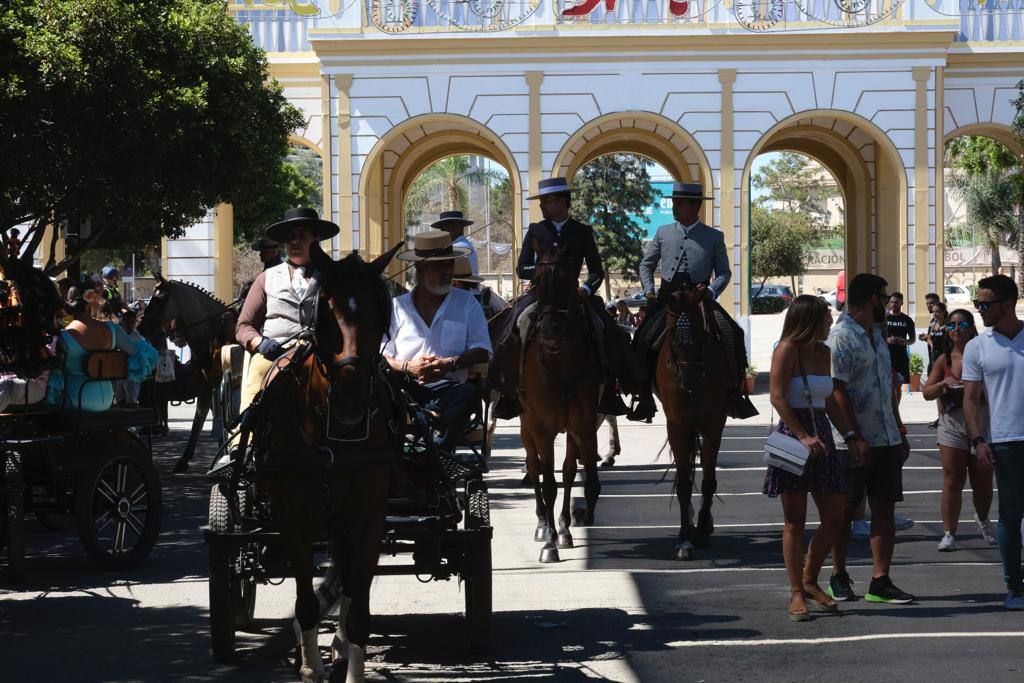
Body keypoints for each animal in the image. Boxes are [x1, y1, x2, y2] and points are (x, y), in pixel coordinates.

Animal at [247, 242, 403, 679]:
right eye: (325, 313)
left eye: (380, 313)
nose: (350, 400)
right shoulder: (291, 520)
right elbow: (306, 601)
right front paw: (309, 665)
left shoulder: (368, 519)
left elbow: (358, 605)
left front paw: (351, 663)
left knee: (349, 586)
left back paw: (340, 645)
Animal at [655, 286, 729, 557]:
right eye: (672, 335)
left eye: (699, 333)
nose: (689, 378)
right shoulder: (677, 425)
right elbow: (685, 484)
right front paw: (684, 539)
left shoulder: (714, 424)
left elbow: (708, 480)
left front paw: (703, 528)